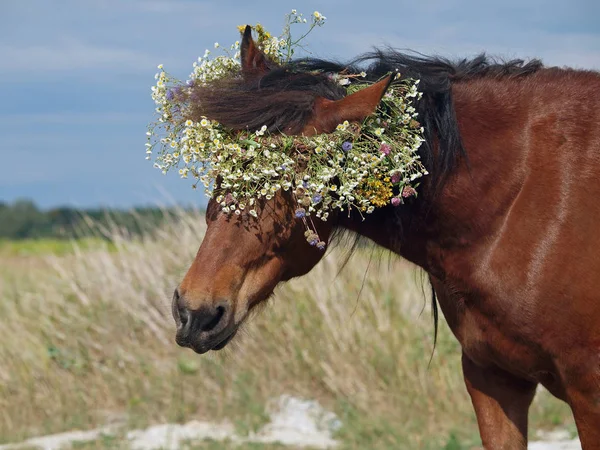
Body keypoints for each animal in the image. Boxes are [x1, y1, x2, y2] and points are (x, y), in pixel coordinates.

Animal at [170, 27, 600, 446]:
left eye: (297, 178)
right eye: (219, 166)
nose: (195, 312)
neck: (517, 199)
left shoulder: (588, 395)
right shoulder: (492, 378)